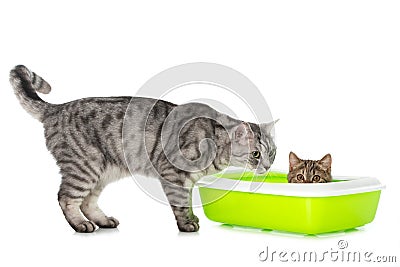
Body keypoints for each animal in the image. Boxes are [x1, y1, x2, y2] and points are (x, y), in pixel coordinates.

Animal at [10, 66, 278, 233]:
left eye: (272, 154)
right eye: (256, 154)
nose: (267, 166)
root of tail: (57, 108)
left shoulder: (187, 180)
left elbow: (188, 201)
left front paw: (192, 218)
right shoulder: (173, 175)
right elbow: (181, 203)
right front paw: (187, 224)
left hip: (101, 172)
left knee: (87, 202)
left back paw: (103, 220)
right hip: (84, 167)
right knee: (65, 198)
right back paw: (80, 225)